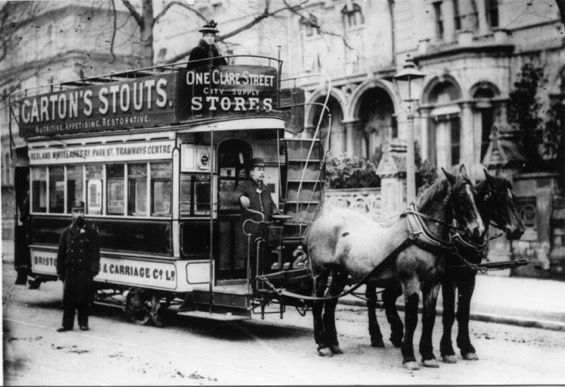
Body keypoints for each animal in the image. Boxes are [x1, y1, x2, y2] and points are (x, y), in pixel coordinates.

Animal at [306, 166, 482, 370]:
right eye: (460, 196)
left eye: (476, 194)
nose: (478, 230)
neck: (420, 234)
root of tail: (320, 221)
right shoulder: (410, 281)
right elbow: (412, 318)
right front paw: (409, 357)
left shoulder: (434, 282)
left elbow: (429, 317)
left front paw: (428, 355)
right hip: (320, 272)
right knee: (317, 302)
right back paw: (322, 345)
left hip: (340, 273)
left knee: (330, 302)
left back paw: (333, 343)